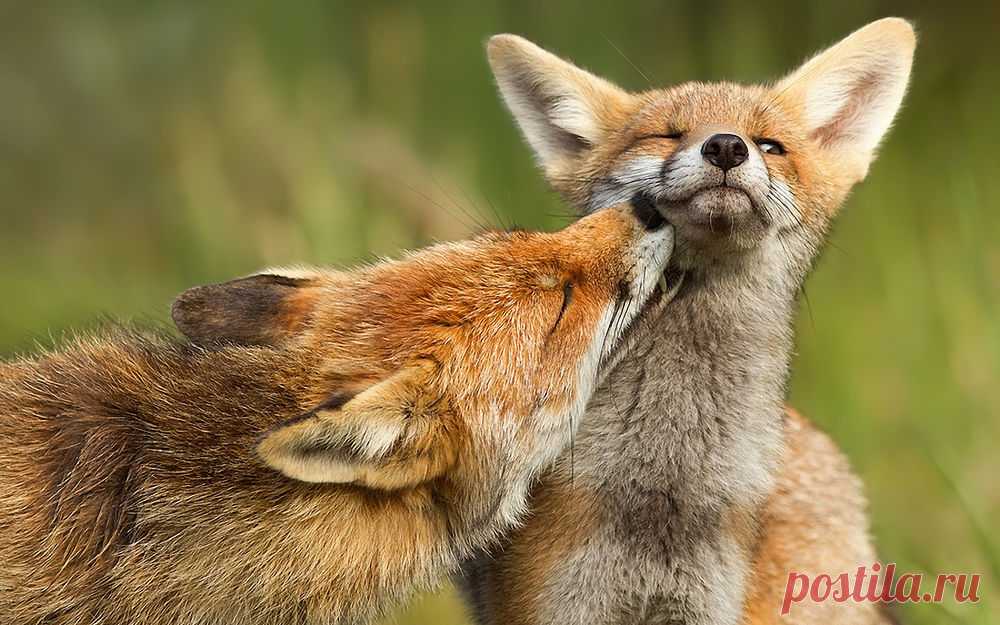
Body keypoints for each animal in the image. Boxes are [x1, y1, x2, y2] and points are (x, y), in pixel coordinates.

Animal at [460, 17, 916, 620]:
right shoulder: (552, 602)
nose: (726, 146)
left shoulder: (706, 604)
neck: (664, 489)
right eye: (668, 135)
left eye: (771, 146)